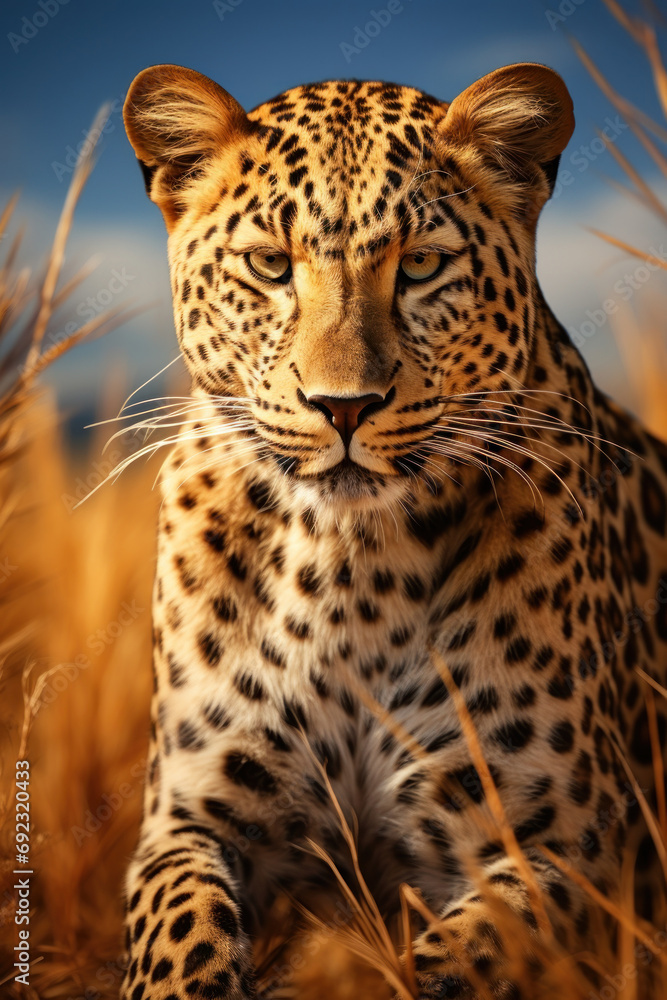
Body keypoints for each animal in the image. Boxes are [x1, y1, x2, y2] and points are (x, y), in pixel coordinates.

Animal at [119, 61, 667, 1000]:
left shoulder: (572, 845)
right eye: (270, 265)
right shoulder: (185, 816)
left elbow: (454, 959)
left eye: (420, 266)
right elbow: (179, 939)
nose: (343, 406)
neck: (347, 572)